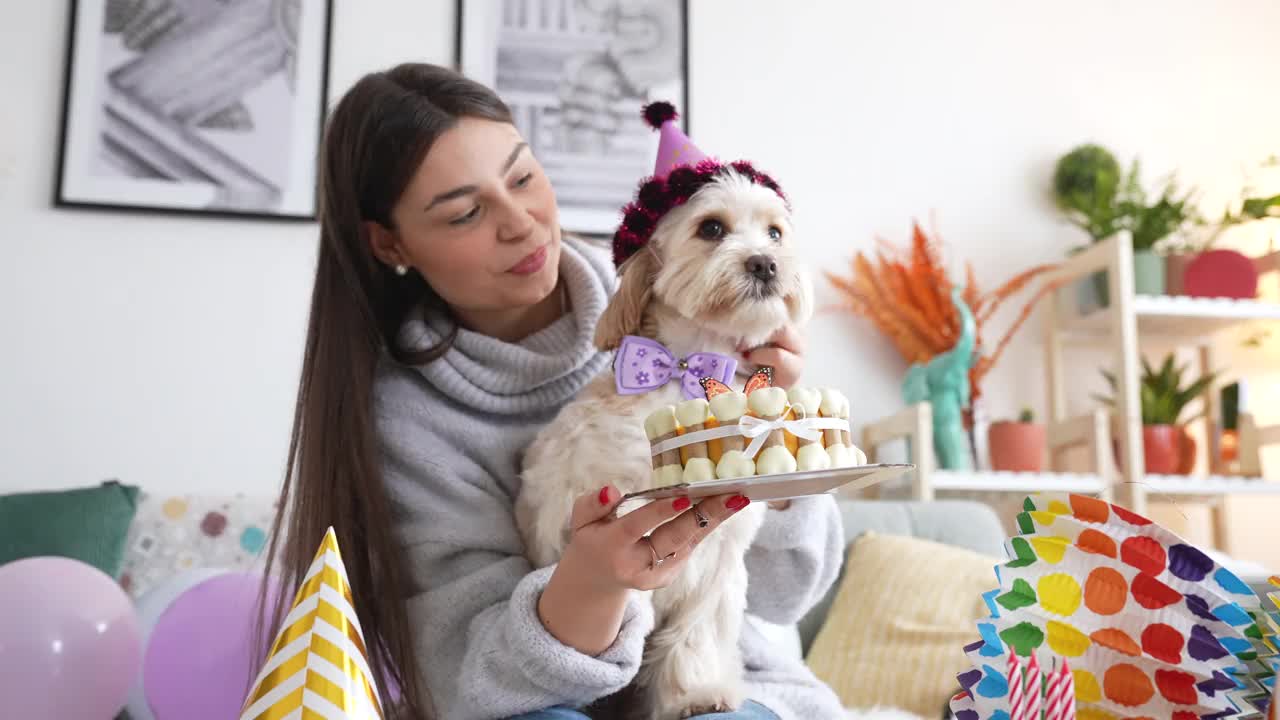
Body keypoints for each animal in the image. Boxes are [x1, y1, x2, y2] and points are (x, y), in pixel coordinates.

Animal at [517, 159, 808, 712]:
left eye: (776, 233)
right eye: (711, 228)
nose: (766, 263)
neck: (686, 370)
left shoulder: (720, 560)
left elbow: (697, 635)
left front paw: (696, 693)